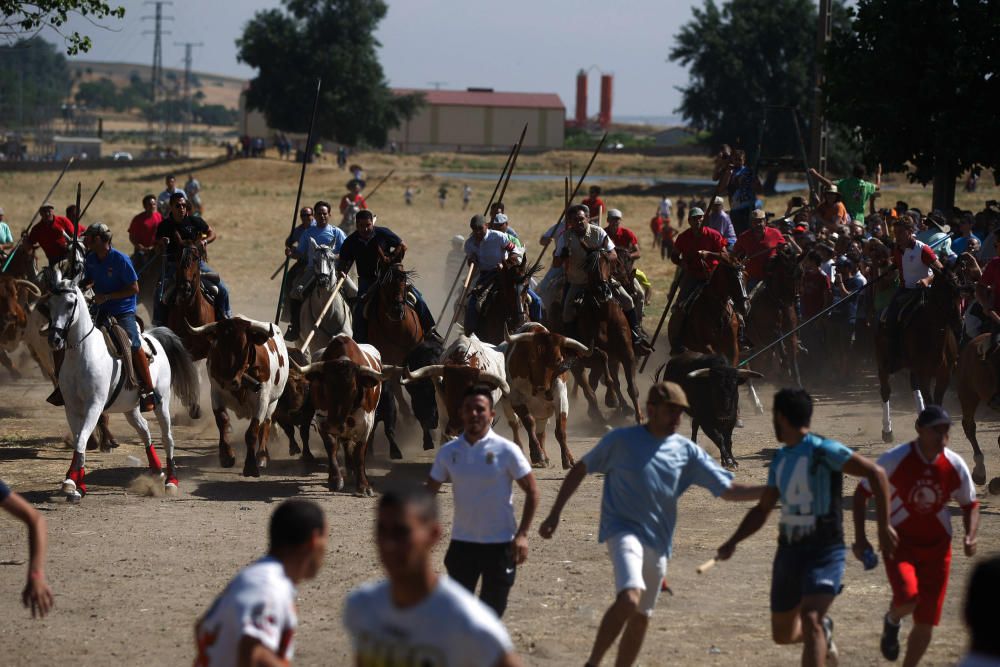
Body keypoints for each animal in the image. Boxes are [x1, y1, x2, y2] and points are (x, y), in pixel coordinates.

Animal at [43, 276, 200, 500]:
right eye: (49, 305)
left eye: (70, 304)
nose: (54, 339)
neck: (82, 354)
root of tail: (153, 337)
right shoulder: (71, 408)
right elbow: (80, 439)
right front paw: (76, 484)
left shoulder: (94, 406)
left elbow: (82, 438)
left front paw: (72, 482)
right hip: (130, 408)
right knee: (145, 430)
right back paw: (156, 470)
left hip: (161, 402)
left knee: (167, 438)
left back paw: (171, 481)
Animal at [876, 266, 960, 444]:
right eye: (944, 294)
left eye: (959, 293)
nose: (959, 323)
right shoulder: (925, 374)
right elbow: (929, 400)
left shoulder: (944, 375)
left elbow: (937, 402)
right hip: (884, 363)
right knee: (886, 390)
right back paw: (887, 431)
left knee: (913, 385)